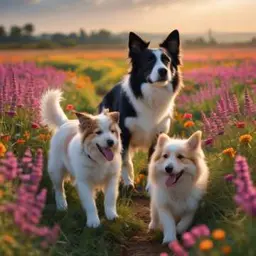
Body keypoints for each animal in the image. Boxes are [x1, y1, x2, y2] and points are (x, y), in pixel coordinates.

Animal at [40, 90, 122, 228]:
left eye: (112, 131)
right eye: (98, 132)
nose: (111, 142)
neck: (99, 161)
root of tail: (65, 123)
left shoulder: (112, 179)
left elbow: (110, 199)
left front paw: (111, 215)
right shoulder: (84, 182)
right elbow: (90, 203)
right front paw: (93, 221)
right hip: (56, 170)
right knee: (58, 188)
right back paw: (61, 205)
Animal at [99, 30, 183, 187]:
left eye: (167, 60)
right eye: (149, 60)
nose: (163, 71)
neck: (152, 94)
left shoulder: (158, 136)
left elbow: (152, 163)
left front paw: (151, 186)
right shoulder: (124, 135)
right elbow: (125, 161)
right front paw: (127, 183)